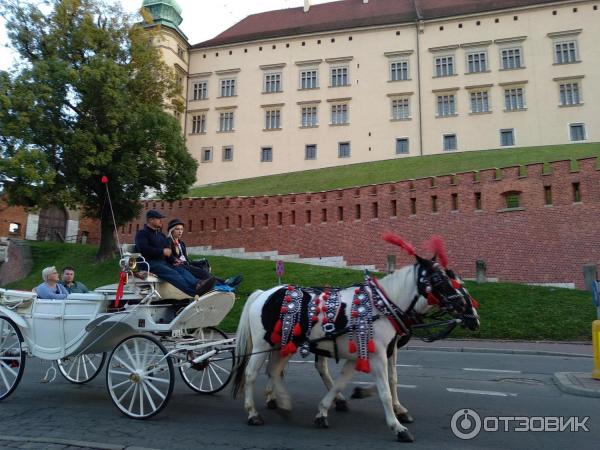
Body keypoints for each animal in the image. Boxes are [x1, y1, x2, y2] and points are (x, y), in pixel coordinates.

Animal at [232, 234, 480, 442]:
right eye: (438, 278)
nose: (472, 316)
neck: (382, 306)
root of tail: (263, 293)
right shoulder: (379, 354)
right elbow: (385, 389)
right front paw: (397, 426)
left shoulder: (363, 354)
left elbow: (344, 383)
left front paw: (326, 409)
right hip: (263, 343)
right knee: (252, 374)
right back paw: (253, 413)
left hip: (283, 344)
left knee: (274, 370)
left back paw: (281, 401)